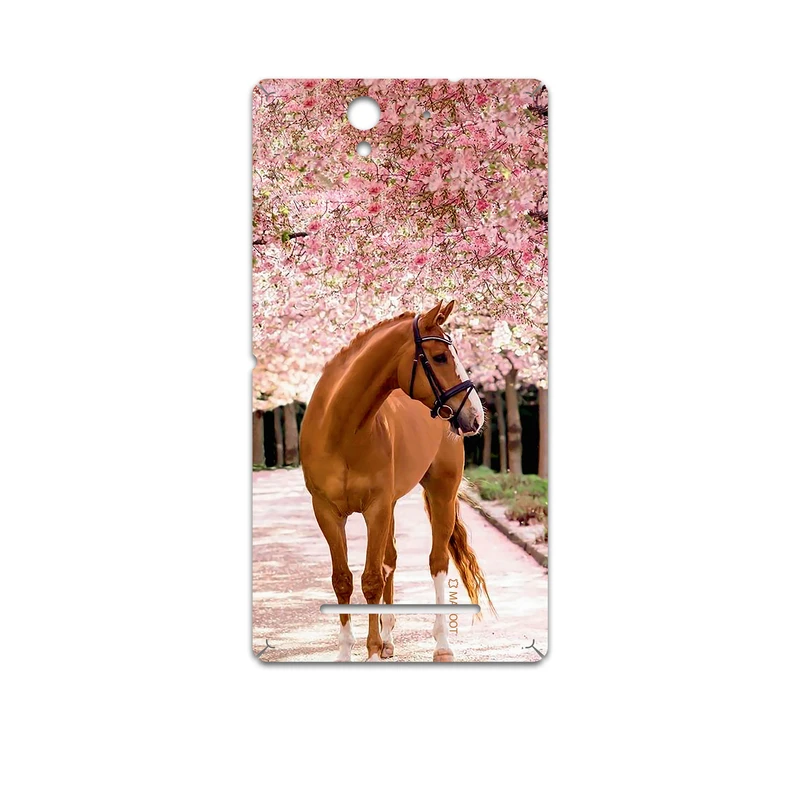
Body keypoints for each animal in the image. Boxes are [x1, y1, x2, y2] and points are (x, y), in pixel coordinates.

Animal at [299, 300, 493, 662]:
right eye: (440, 357)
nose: (475, 415)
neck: (341, 431)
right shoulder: (327, 512)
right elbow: (344, 579)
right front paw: (351, 651)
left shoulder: (375, 508)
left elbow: (371, 579)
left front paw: (372, 651)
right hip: (390, 505)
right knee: (390, 560)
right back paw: (389, 638)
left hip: (440, 494)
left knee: (437, 562)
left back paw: (441, 646)